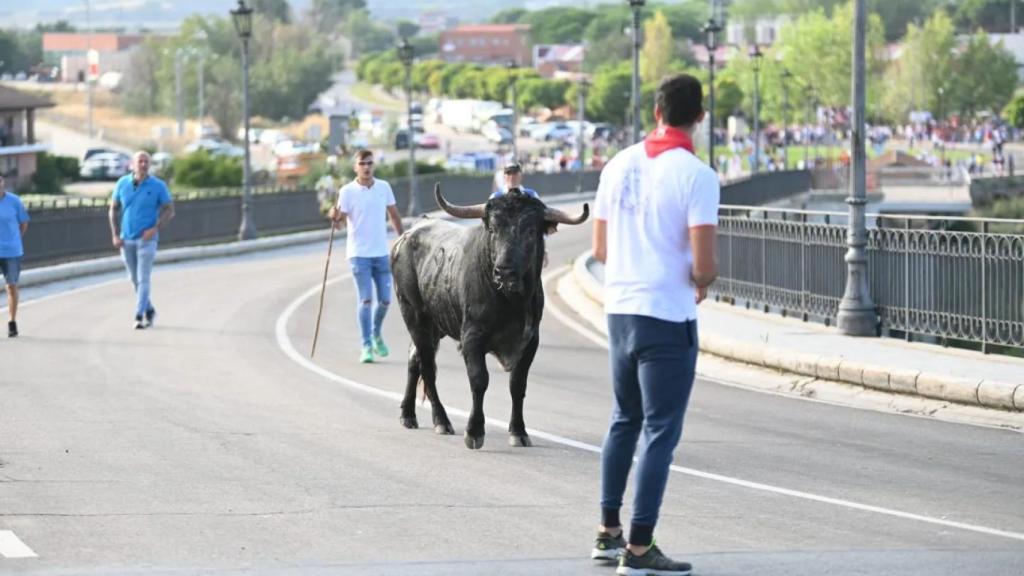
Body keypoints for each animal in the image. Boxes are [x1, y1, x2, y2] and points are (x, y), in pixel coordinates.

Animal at [389, 183, 589, 448]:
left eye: (529, 231)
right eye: (493, 229)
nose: (504, 271)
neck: (511, 301)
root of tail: (410, 233)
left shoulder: (530, 342)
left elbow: (518, 385)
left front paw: (518, 432)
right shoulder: (471, 337)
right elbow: (479, 380)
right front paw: (474, 431)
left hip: (435, 325)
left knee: (415, 360)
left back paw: (408, 414)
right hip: (414, 315)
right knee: (428, 367)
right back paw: (441, 420)